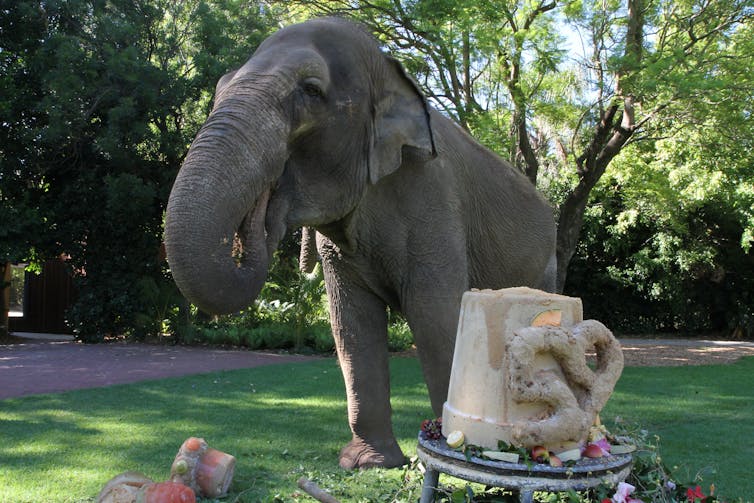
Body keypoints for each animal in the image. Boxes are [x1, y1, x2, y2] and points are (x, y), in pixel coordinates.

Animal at [163, 16, 552, 472]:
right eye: (221, 86)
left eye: (311, 90)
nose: (265, 204)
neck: (390, 72)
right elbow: (351, 323)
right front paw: (369, 463)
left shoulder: (435, 202)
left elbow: (436, 316)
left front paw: (452, 457)